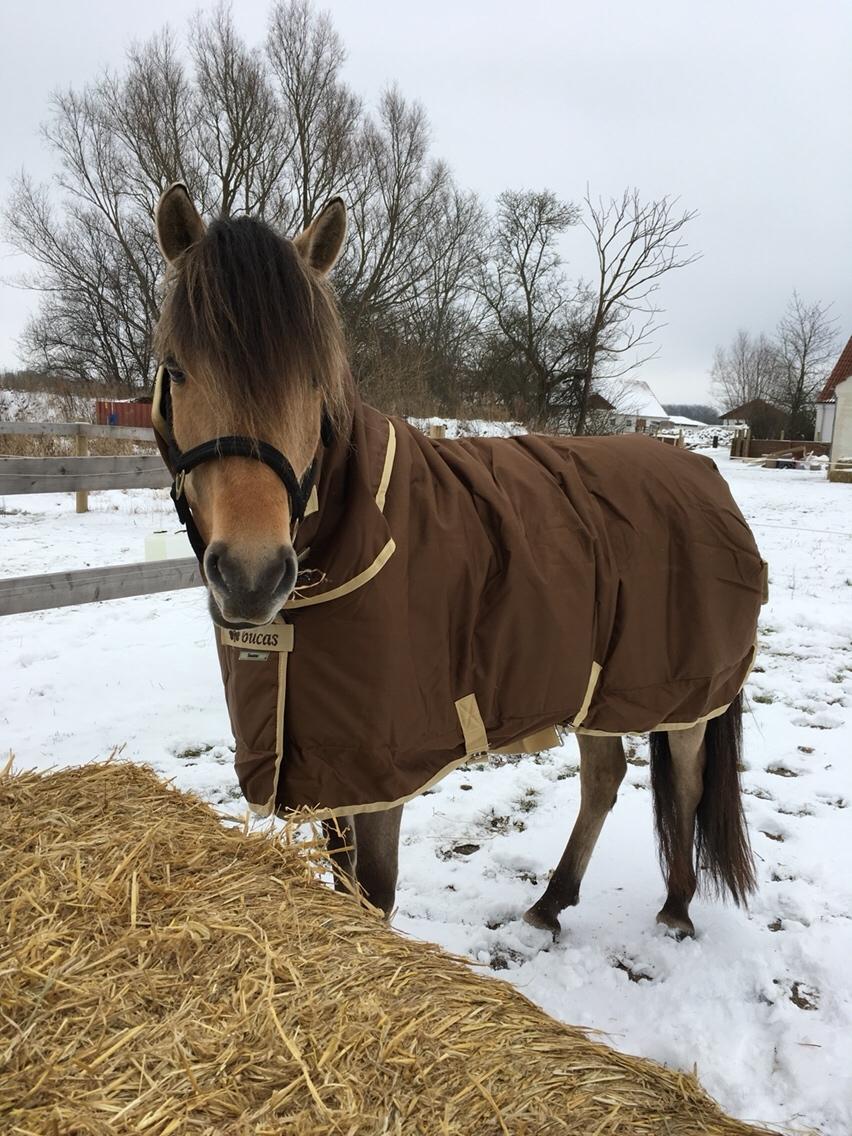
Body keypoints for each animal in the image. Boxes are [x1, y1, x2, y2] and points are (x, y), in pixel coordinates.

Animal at [149, 184, 763, 940]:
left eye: (315, 379)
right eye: (177, 369)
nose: (252, 577)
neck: (358, 532)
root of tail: (703, 471)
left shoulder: (380, 768)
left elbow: (373, 893)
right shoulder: (328, 762)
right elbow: (343, 884)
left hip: (684, 692)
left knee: (686, 779)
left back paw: (676, 907)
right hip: (600, 688)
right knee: (605, 777)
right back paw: (551, 903)